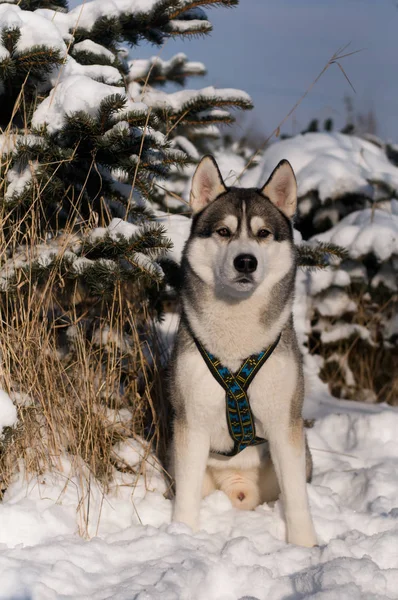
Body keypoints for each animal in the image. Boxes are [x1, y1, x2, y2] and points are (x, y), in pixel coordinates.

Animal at [169, 156, 318, 548]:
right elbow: (186, 496)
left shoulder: (285, 423)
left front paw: (305, 547)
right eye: (223, 231)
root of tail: (237, 488)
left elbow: (297, 498)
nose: (246, 262)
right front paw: (181, 536)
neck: (237, 347)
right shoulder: (190, 422)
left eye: (263, 233)